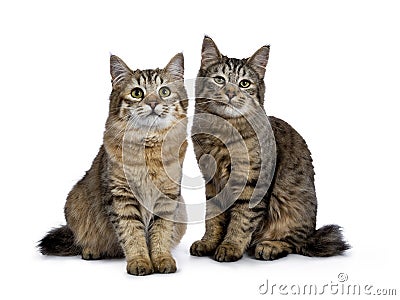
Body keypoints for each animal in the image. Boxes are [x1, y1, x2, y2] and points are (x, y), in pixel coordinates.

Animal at [38, 52, 188, 276]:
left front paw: (162, 259)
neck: (148, 149)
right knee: (84, 241)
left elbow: (160, 234)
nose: (153, 103)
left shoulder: (168, 197)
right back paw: (91, 251)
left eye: (164, 91)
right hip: (75, 204)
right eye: (137, 93)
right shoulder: (121, 195)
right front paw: (139, 262)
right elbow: (132, 234)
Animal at [189, 37, 348, 262]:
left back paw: (269, 246)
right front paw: (208, 243)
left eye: (244, 83)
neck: (224, 132)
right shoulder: (211, 181)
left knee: (294, 242)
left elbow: (241, 220)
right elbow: (213, 218)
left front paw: (230, 247)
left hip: (291, 205)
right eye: (220, 80)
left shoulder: (251, 183)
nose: (230, 93)